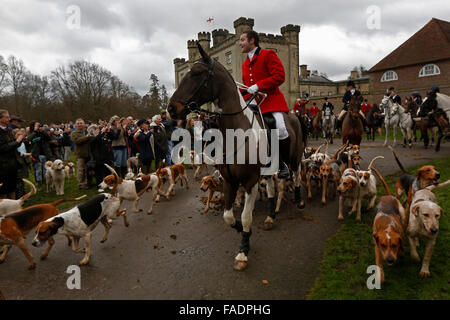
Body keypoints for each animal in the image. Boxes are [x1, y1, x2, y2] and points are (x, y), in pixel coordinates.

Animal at [168, 42, 306, 272]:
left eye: (196, 74)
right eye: (184, 74)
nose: (171, 108)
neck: (236, 131)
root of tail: (293, 115)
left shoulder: (249, 181)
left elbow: (247, 217)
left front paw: (243, 251)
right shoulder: (230, 180)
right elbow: (229, 217)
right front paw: (242, 230)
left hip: (294, 159)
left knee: (295, 176)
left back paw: (299, 200)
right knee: (271, 189)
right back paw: (270, 217)